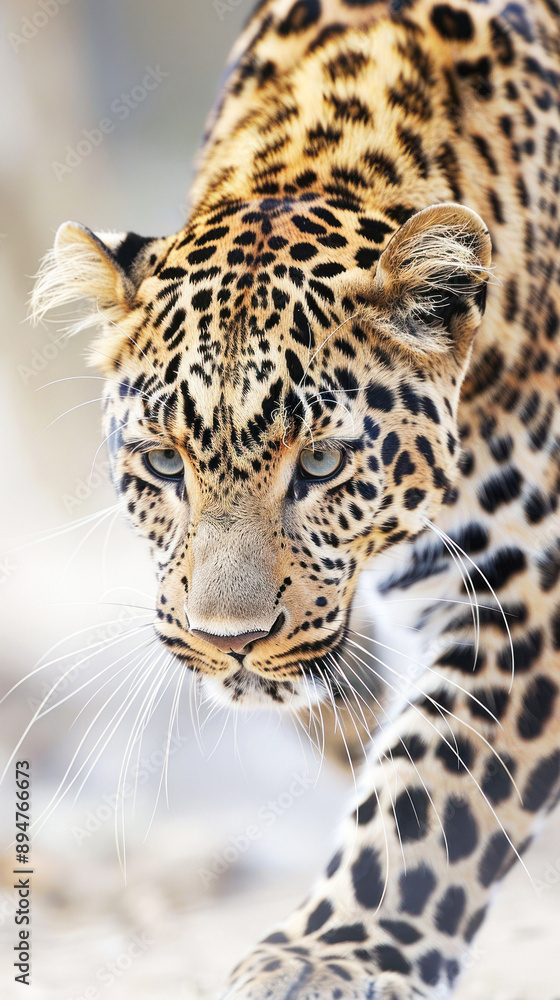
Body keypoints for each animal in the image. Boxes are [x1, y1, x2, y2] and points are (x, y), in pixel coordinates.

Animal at [31, 0, 560, 996]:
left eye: (318, 464)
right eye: (165, 465)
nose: (229, 642)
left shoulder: (530, 578)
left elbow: (436, 786)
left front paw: (328, 952)